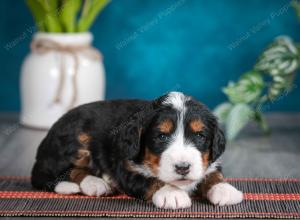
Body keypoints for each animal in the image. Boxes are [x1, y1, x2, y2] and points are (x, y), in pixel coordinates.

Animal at [31, 92, 243, 209]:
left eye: (200, 136)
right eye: (161, 137)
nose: (183, 167)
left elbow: (213, 174)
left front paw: (224, 189)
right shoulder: (126, 168)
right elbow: (151, 180)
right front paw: (171, 193)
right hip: (75, 139)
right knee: (63, 171)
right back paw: (95, 183)